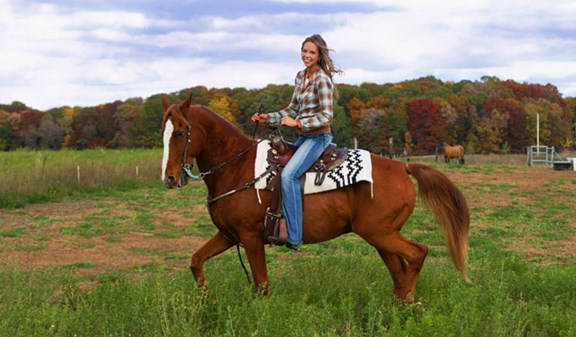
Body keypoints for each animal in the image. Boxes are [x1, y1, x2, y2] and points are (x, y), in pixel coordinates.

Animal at [160, 94, 470, 302]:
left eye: (180, 132)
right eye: (162, 133)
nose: (170, 178)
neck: (236, 168)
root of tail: (402, 167)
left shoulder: (250, 237)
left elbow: (262, 284)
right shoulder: (228, 234)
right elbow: (196, 261)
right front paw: (206, 300)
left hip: (380, 233)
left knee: (418, 253)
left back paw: (407, 302)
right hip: (382, 236)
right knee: (399, 269)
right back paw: (401, 305)